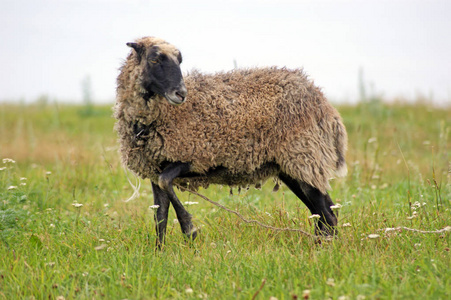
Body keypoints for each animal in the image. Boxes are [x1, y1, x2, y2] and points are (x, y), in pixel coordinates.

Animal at [114, 36, 350, 245]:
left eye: (180, 61)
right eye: (154, 59)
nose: (181, 93)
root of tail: (324, 104)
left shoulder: (196, 157)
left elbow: (166, 184)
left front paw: (190, 229)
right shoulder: (155, 170)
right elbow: (160, 217)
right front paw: (160, 253)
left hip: (305, 157)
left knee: (327, 214)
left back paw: (324, 250)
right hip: (293, 167)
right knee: (322, 212)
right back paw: (319, 246)